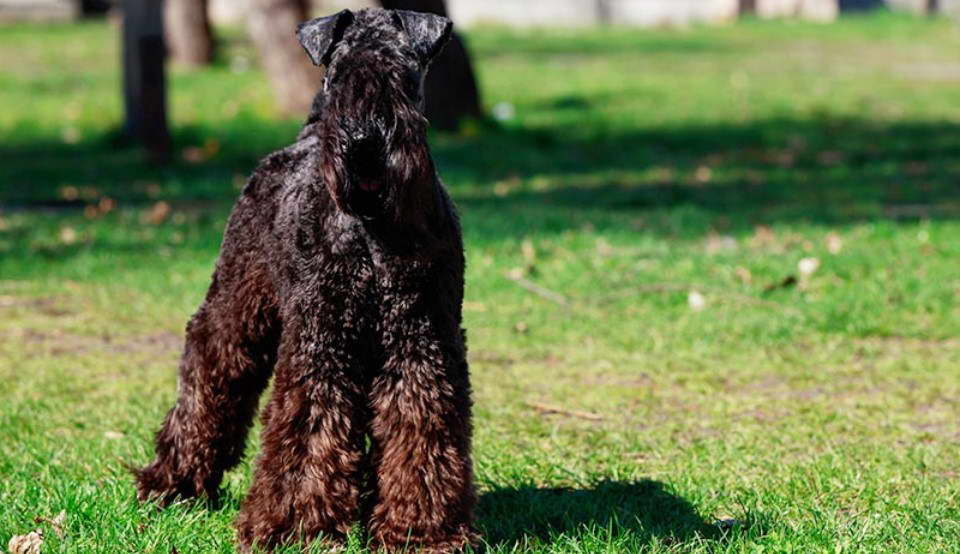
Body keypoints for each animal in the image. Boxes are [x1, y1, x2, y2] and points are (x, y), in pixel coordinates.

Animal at [133, 7, 478, 548]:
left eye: (402, 74)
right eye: (336, 74)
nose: (363, 141)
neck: (371, 230)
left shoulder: (421, 342)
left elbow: (421, 426)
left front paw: (420, 531)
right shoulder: (322, 341)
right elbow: (310, 427)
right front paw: (295, 528)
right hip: (236, 307)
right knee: (209, 372)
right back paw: (172, 482)